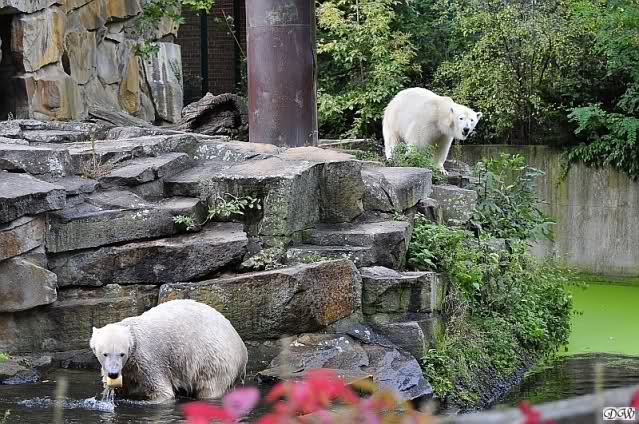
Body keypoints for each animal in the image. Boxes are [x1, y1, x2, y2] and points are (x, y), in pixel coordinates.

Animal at [90, 299, 248, 402]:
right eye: (105, 354)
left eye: (122, 354)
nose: (113, 374)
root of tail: (242, 349)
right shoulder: (128, 367)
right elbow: (122, 387)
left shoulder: (147, 358)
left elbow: (162, 390)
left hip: (214, 358)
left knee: (209, 387)